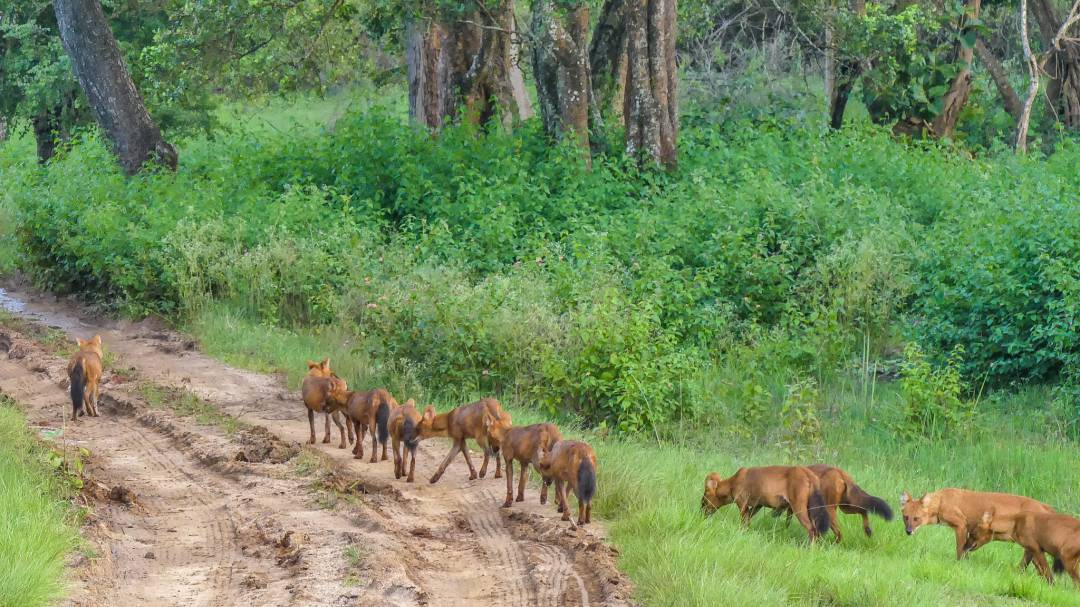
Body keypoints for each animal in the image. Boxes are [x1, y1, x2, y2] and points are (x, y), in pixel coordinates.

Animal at [894, 486, 1054, 557]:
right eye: (906, 517)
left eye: (917, 518)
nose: (908, 531)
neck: (941, 502)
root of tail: (1045, 506)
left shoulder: (961, 525)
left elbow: (959, 549)